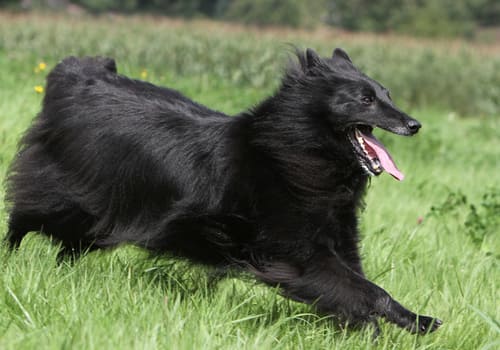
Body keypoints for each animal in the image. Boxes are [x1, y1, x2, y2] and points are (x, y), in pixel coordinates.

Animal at [3, 47, 442, 334]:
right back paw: (10, 261)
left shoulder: (338, 243)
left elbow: (360, 288)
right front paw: (404, 324)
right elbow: (369, 291)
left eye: (387, 95)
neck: (291, 152)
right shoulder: (298, 255)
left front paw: (393, 323)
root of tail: (75, 77)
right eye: (365, 99)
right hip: (62, 199)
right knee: (20, 220)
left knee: (67, 247)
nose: (415, 124)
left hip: (95, 219)